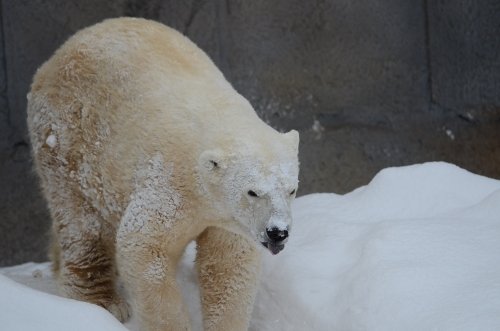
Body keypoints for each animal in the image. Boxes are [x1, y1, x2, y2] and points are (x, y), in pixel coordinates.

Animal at [27, 17, 298, 331]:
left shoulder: (228, 217)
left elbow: (228, 264)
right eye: (253, 191)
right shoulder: (170, 182)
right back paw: (100, 300)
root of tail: (58, 54)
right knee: (81, 220)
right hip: (66, 139)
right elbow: (144, 247)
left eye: (291, 189)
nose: (277, 232)